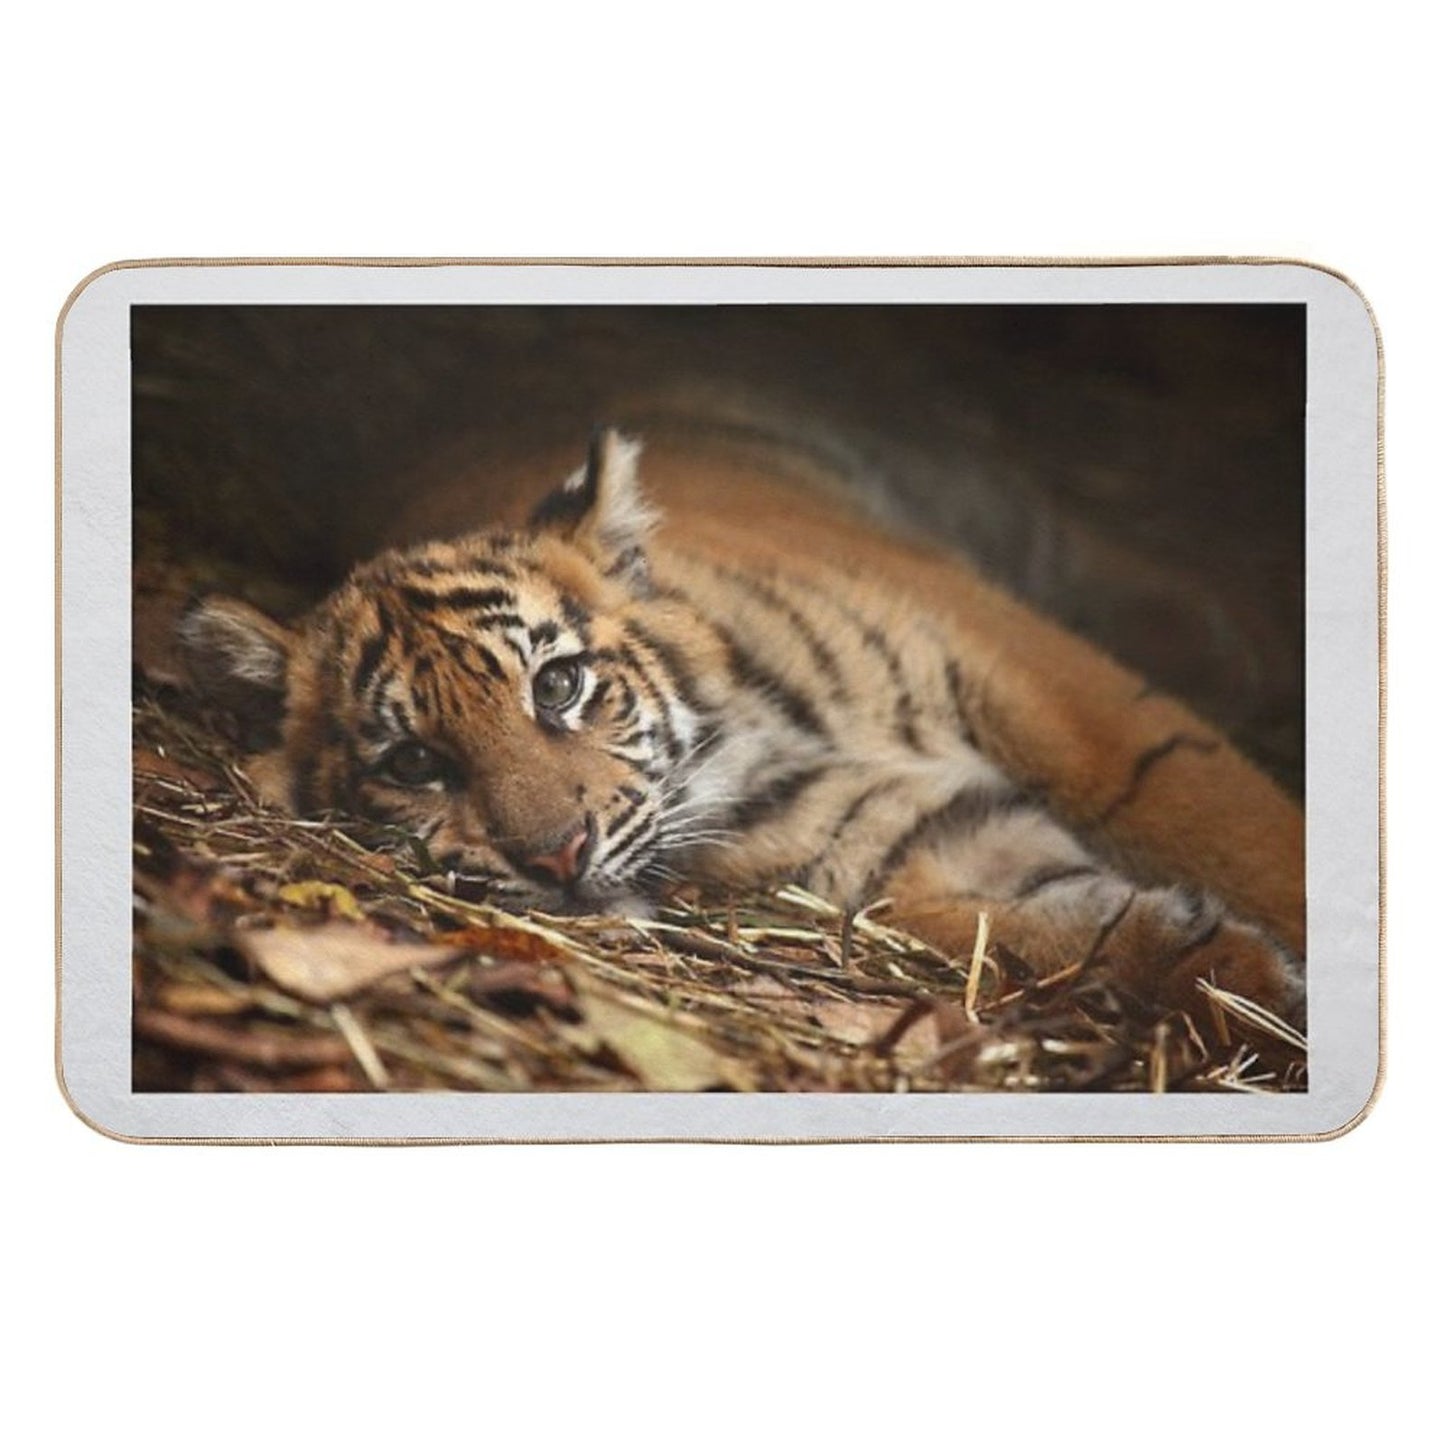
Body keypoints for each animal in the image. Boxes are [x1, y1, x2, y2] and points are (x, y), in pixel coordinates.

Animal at [179, 426, 1306, 1030]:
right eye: (415, 761)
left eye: (558, 684)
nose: (555, 859)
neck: (751, 749)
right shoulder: (914, 849)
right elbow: (1060, 926)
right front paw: (1250, 983)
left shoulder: (1051, 690)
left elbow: (1240, 831)